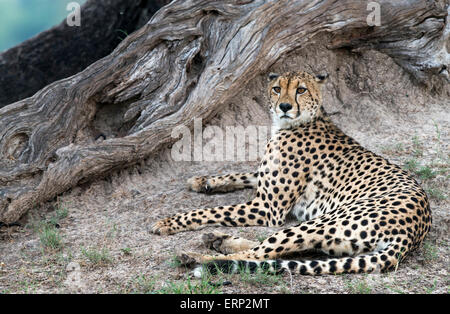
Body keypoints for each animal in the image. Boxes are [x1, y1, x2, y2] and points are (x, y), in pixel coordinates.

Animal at [152, 70, 432, 276]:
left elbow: (211, 211)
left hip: (321, 222)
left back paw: (198, 258)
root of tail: (414, 232)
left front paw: (169, 222)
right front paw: (203, 181)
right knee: (276, 250)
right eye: (277, 88)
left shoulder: (266, 209)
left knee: (259, 254)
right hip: (336, 243)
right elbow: (241, 175)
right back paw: (218, 239)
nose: (285, 106)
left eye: (301, 90)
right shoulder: (263, 188)